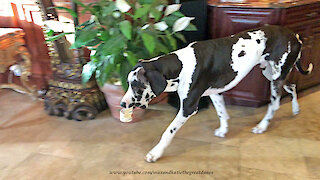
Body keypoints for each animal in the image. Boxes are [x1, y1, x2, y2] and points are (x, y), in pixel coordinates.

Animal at [119, 25, 312, 163]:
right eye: (128, 84)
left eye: (136, 86)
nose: (122, 104)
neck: (181, 66)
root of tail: (294, 35)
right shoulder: (214, 92)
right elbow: (221, 113)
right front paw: (224, 129)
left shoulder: (188, 108)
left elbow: (168, 132)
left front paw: (155, 153)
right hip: (272, 74)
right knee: (292, 86)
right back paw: (295, 109)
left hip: (276, 77)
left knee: (274, 104)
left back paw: (262, 126)